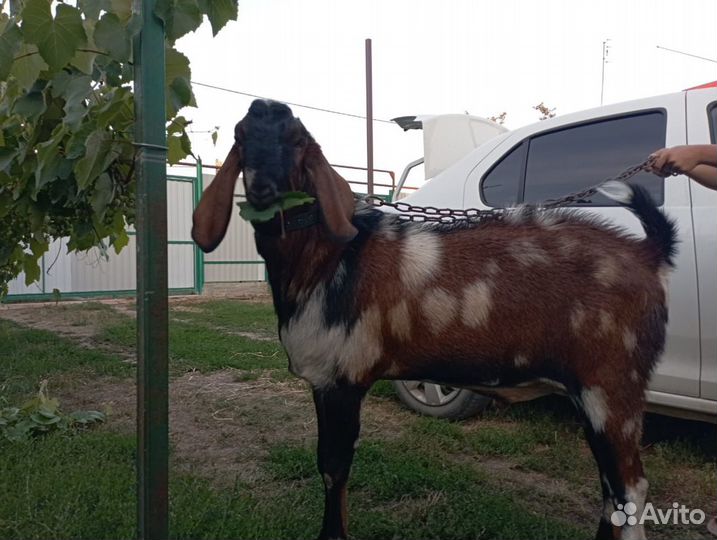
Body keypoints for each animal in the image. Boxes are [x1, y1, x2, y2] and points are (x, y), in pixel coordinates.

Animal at [192, 99, 676, 536]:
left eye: (297, 140)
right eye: (240, 136)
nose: (264, 191)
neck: (327, 259)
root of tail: (647, 253)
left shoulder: (342, 377)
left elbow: (333, 467)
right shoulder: (325, 380)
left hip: (611, 386)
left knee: (630, 488)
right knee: (611, 489)